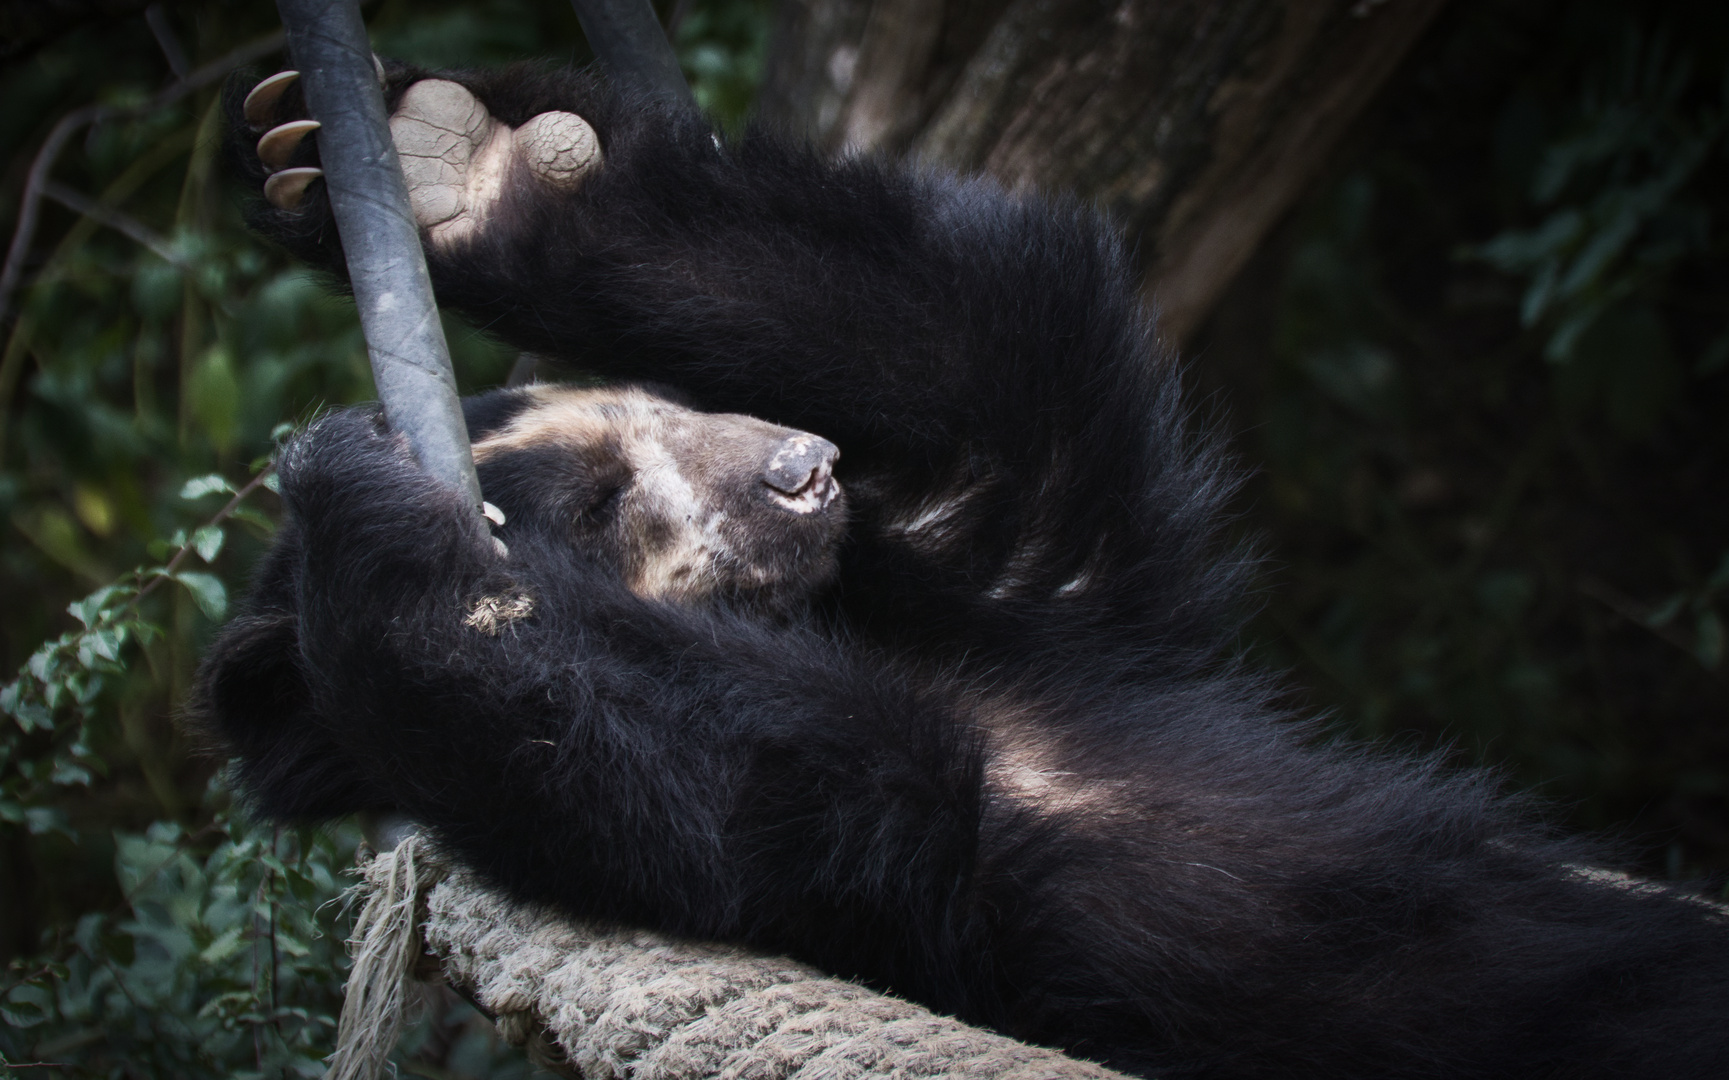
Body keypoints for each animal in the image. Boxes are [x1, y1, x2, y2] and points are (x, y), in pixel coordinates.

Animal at [198, 60, 1729, 1078]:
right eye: (596, 502)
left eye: (657, 401)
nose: (805, 466)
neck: (818, 623)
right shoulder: (880, 891)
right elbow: (777, 779)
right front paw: (355, 495)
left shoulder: (1016, 605)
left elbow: (1003, 409)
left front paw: (439, 157)